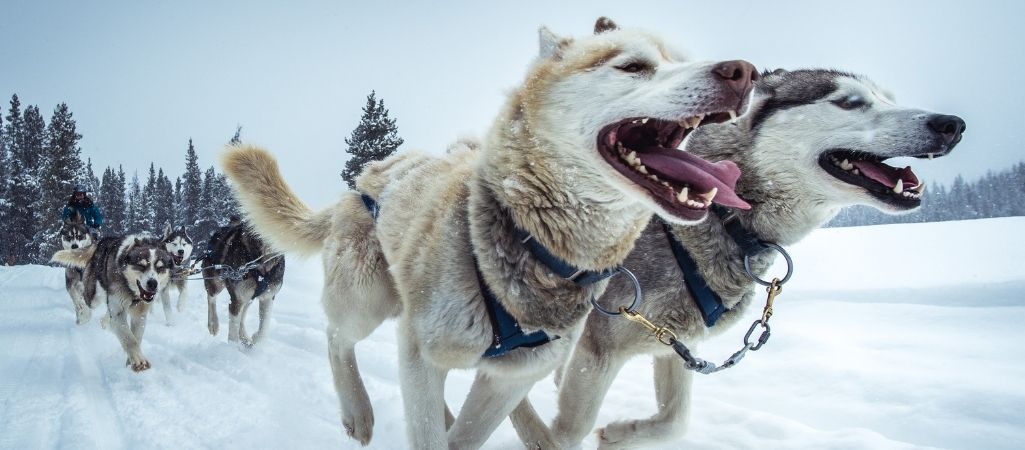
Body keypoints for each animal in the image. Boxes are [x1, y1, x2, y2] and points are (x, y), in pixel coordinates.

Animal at [51, 234, 174, 371]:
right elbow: (129, 339)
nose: (153, 284)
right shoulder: (119, 311)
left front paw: (130, 361)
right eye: (141, 265)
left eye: (160, 267)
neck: (132, 291)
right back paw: (82, 314)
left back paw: (104, 321)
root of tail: (100, 242)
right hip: (94, 295)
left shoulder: (139, 314)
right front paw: (138, 360)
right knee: (83, 299)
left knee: (106, 314)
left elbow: (136, 337)